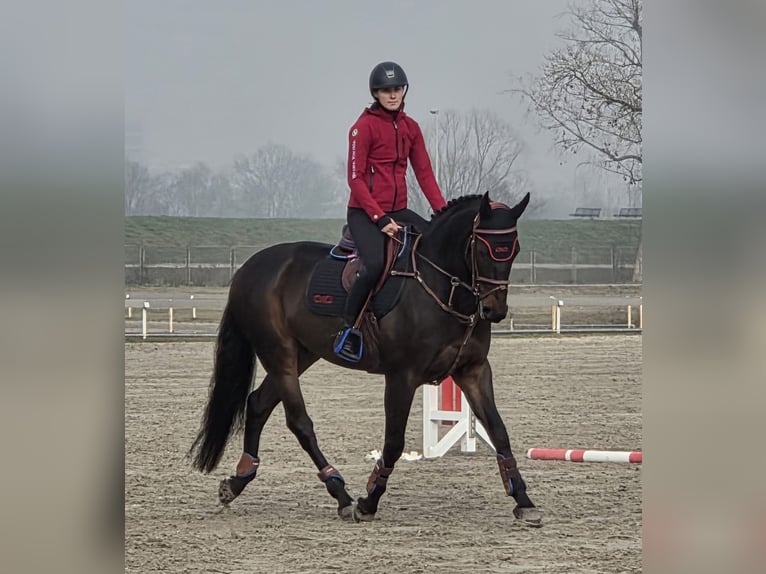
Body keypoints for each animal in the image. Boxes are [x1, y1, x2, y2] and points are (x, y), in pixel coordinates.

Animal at [189, 192, 542, 526]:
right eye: (482, 249)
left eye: (513, 250)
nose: (494, 310)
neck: (442, 285)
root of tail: (250, 267)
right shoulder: (402, 376)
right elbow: (394, 441)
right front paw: (369, 501)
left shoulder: (473, 371)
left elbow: (498, 430)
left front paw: (524, 502)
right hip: (279, 354)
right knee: (299, 422)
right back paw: (341, 494)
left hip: (303, 354)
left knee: (258, 404)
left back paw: (237, 481)